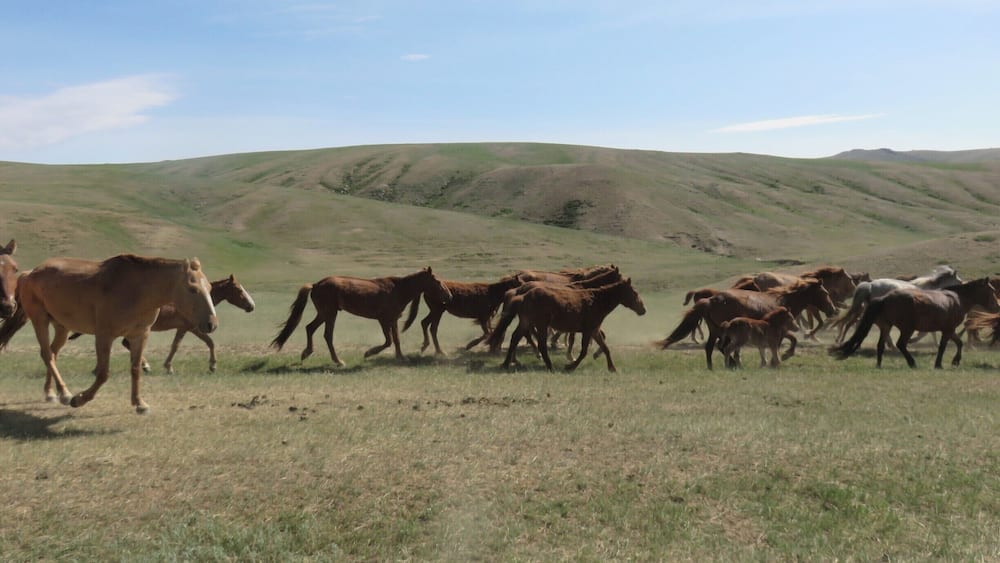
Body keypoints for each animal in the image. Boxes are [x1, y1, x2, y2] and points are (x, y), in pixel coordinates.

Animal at [0, 255, 218, 413]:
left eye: (209, 287)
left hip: (61, 326)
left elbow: (136, 369)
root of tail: (29, 273)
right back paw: (65, 394)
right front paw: (79, 399)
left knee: (52, 353)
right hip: (40, 320)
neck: (137, 290)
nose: (212, 324)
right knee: (47, 354)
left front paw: (140, 403)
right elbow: (103, 373)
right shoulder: (104, 336)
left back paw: (51, 393)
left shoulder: (140, 335)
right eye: (192, 288)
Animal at [270, 267, 453, 366]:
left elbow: (396, 340)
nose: (449, 296)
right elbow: (388, 341)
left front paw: (401, 357)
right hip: (330, 314)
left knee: (310, 328)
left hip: (323, 313)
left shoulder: (393, 319)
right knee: (327, 335)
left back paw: (306, 353)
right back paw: (338, 361)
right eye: (437, 281)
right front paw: (368, 353)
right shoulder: (383, 319)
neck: (398, 290)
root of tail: (315, 285)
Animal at [501, 278, 645, 372]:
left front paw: (612, 368)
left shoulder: (594, 330)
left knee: (515, 338)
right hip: (541, 325)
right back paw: (550, 366)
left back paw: (506, 363)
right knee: (541, 344)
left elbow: (605, 348)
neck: (597, 300)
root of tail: (523, 296)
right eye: (635, 292)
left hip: (526, 323)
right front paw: (570, 366)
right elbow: (584, 351)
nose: (643, 310)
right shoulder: (588, 331)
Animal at [660, 277, 837, 369]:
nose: (833, 310)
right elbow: (790, 341)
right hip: (721, 331)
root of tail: (710, 300)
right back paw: (732, 364)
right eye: (825, 293)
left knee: (711, 347)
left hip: (715, 330)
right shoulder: (780, 330)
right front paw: (782, 357)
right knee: (720, 347)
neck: (783, 301)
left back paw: (715, 366)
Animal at [830, 277, 999, 368]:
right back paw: (912, 362)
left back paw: (879, 364)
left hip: (886, 326)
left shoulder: (948, 330)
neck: (957, 299)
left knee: (881, 345)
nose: (997, 306)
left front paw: (955, 361)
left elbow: (959, 343)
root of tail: (884, 298)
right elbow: (944, 347)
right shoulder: (948, 330)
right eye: (991, 290)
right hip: (907, 329)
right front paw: (940, 364)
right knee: (901, 344)